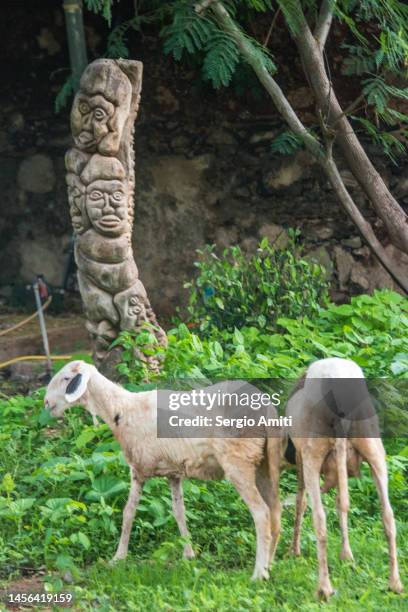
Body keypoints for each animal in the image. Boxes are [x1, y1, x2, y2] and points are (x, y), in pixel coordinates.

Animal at [43, 360, 280, 580]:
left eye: (66, 379)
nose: (46, 403)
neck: (120, 409)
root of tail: (266, 406)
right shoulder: (173, 472)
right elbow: (179, 511)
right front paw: (188, 554)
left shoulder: (138, 469)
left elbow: (128, 513)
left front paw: (118, 558)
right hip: (265, 463)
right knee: (275, 512)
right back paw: (269, 565)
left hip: (239, 460)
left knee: (261, 513)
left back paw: (258, 574)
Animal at [286, 356, 404, 600]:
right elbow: (342, 503)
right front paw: (346, 555)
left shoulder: (302, 459)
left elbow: (302, 502)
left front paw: (294, 551)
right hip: (373, 445)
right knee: (388, 514)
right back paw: (395, 584)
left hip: (312, 454)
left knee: (318, 517)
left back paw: (324, 588)